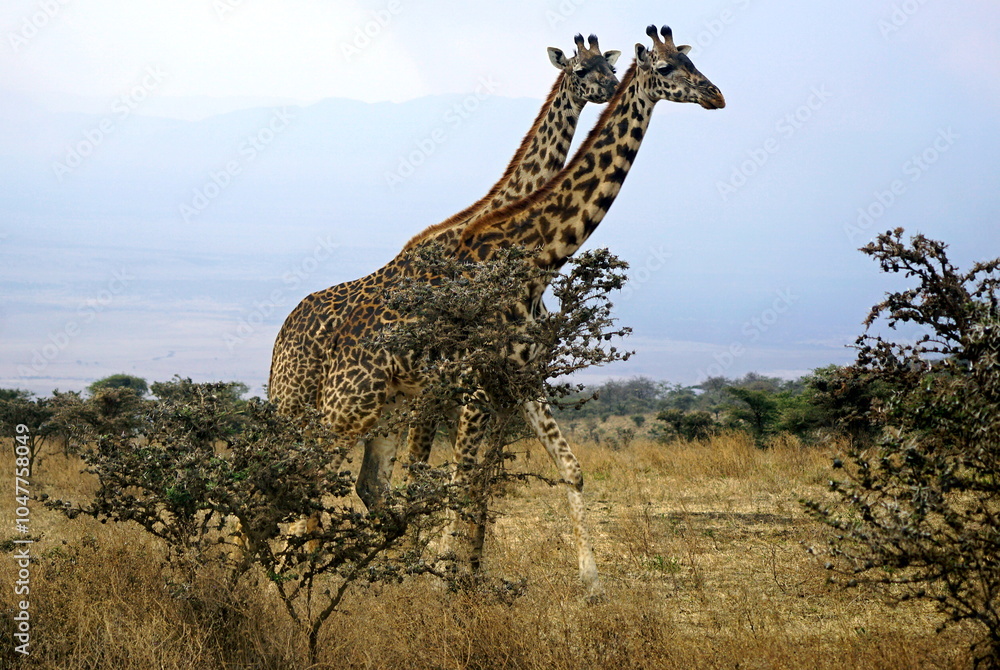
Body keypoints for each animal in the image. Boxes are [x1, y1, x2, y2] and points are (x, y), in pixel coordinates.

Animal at [269, 35, 620, 509]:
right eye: (581, 70)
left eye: (608, 65)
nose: (612, 86)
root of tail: (280, 337)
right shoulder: (440, 391)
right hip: (300, 401)